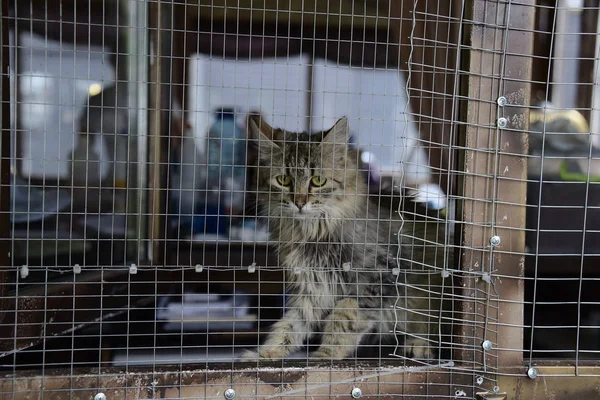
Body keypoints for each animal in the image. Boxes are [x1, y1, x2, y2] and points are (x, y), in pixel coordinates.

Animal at [240, 116, 440, 362]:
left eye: (318, 180)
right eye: (284, 179)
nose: (299, 202)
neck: (313, 233)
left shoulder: (378, 275)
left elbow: (343, 319)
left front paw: (325, 356)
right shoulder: (313, 285)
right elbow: (291, 325)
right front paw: (266, 354)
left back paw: (418, 345)